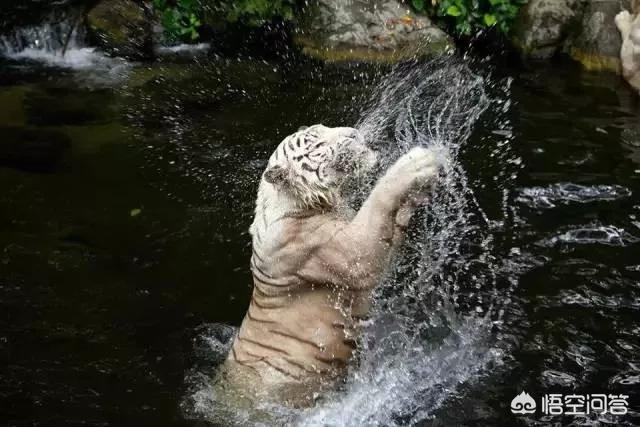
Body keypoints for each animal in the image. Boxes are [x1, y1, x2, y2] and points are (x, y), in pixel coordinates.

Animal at [222, 124, 442, 408]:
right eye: (316, 144)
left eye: (323, 127)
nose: (354, 133)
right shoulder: (344, 253)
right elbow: (375, 210)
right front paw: (417, 162)